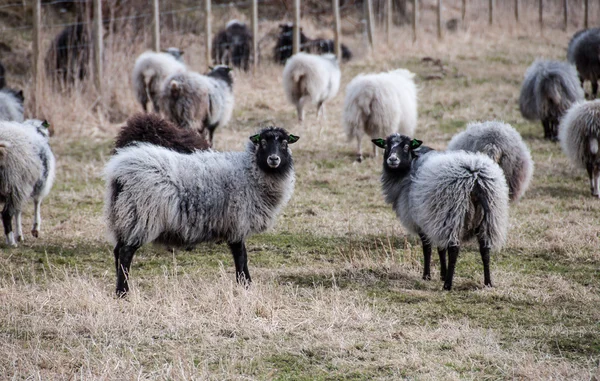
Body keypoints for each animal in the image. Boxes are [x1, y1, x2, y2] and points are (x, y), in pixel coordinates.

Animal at [0, 117, 55, 245]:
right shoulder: (38, 184)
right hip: (14, 182)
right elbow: (37, 203)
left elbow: (18, 211)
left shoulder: (21, 188)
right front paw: (35, 228)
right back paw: (11, 242)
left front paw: (19, 234)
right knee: (6, 215)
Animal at [105, 126, 300, 296]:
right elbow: (241, 256)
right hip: (142, 215)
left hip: (124, 215)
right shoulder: (237, 221)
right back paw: (123, 292)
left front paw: (245, 284)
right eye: (263, 143)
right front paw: (245, 284)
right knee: (126, 253)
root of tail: (119, 172)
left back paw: (120, 285)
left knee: (117, 251)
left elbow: (241, 256)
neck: (249, 171)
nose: (273, 159)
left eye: (284, 143)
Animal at [372, 135, 508, 290]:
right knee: (485, 250)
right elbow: (441, 248)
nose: (392, 159)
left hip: (452, 213)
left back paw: (448, 285)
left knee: (454, 249)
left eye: (406, 146)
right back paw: (488, 283)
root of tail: (475, 178)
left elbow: (428, 248)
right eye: (386, 146)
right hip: (489, 217)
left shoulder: (423, 221)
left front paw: (427, 276)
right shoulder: (435, 220)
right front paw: (442, 273)